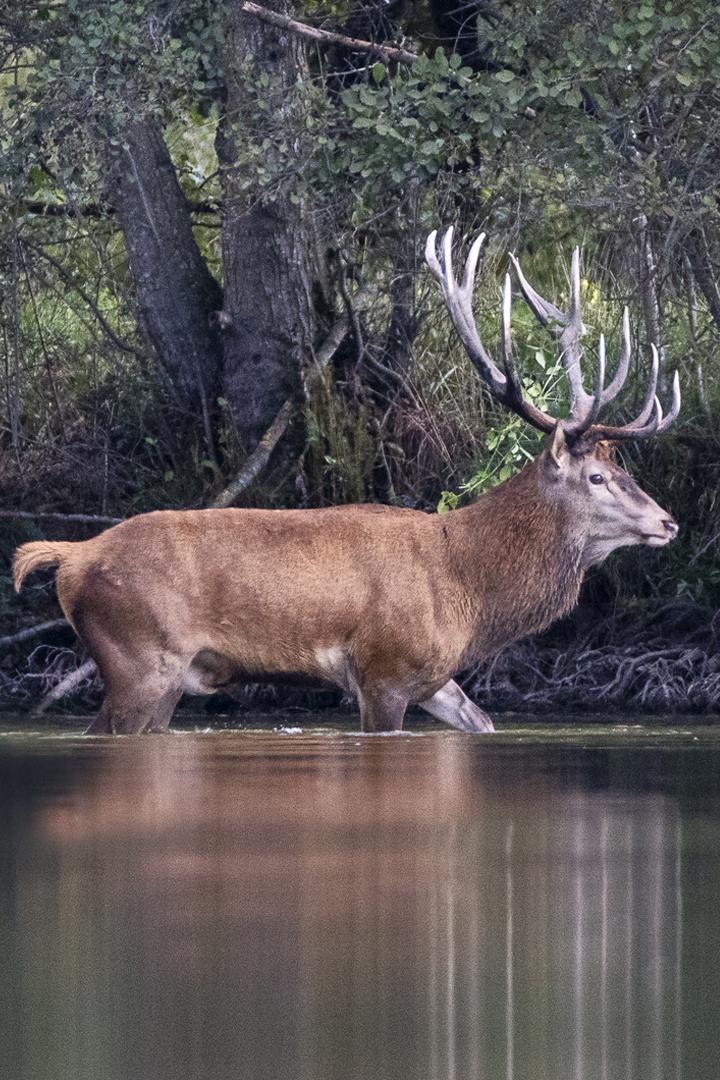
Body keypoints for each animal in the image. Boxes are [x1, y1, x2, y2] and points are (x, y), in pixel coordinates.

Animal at [13, 229, 680, 735]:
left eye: (622, 469)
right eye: (598, 475)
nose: (668, 521)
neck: (467, 588)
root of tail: (71, 556)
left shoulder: (435, 677)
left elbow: (483, 722)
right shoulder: (382, 667)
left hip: (162, 677)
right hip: (138, 660)